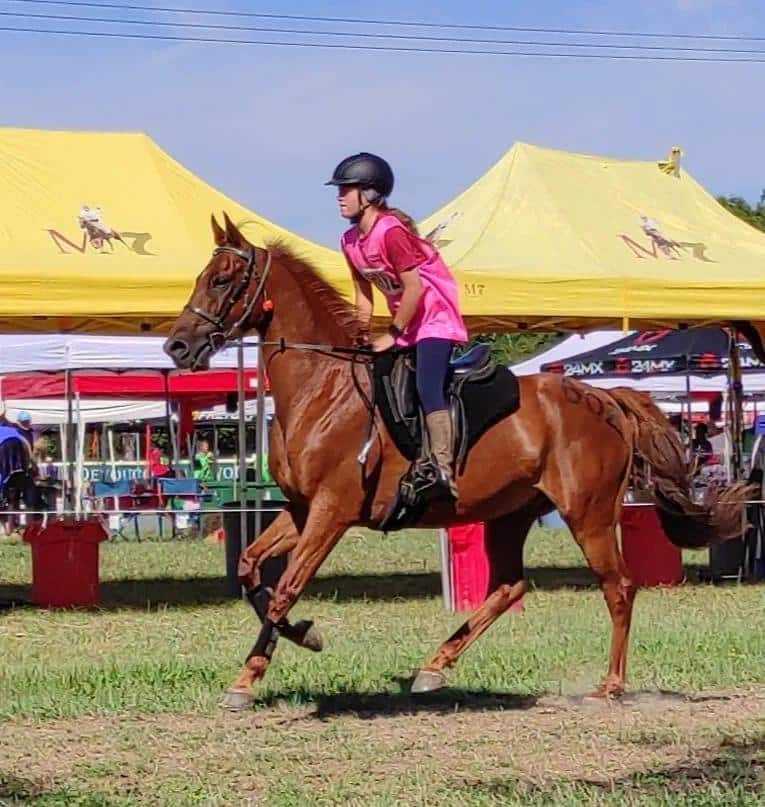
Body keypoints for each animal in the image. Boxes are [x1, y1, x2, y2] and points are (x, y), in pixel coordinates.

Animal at [163, 216, 748, 712]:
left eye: (221, 279)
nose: (176, 347)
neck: (321, 388)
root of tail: (604, 398)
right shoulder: (303, 510)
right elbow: (250, 569)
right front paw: (294, 640)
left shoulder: (331, 513)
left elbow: (285, 587)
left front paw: (254, 673)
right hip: (510, 513)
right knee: (509, 586)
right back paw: (434, 667)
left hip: (589, 513)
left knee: (619, 587)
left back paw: (610, 686)